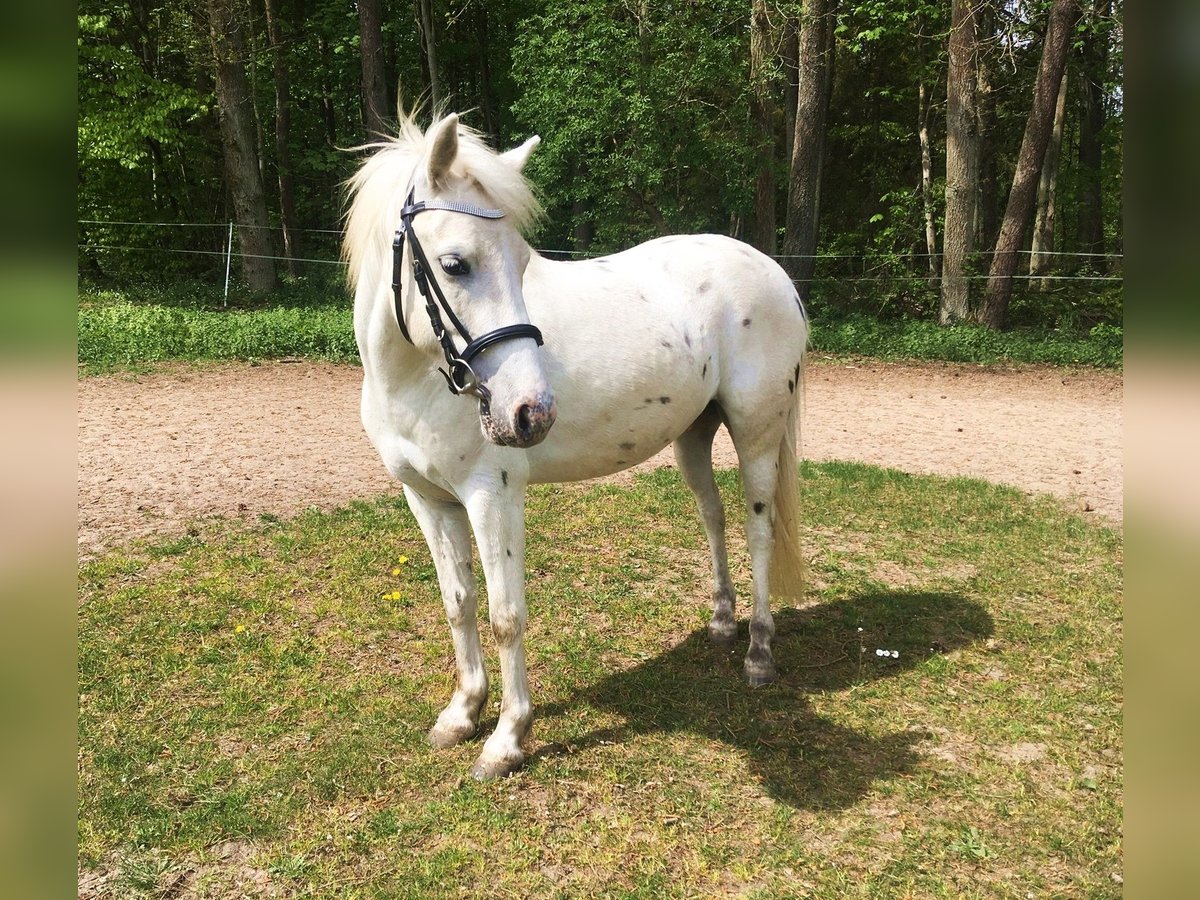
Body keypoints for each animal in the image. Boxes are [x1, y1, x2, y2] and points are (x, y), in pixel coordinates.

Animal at [343, 109, 806, 777]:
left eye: (521, 261)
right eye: (455, 264)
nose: (531, 413)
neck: (418, 380)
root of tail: (775, 273)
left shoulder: (492, 497)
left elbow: (506, 616)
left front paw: (507, 738)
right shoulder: (427, 500)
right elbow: (458, 602)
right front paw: (462, 713)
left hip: (757, 433)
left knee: (758, 528)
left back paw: (759, 655)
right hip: (694, 435)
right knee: (713, 516)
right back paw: (722, 623)